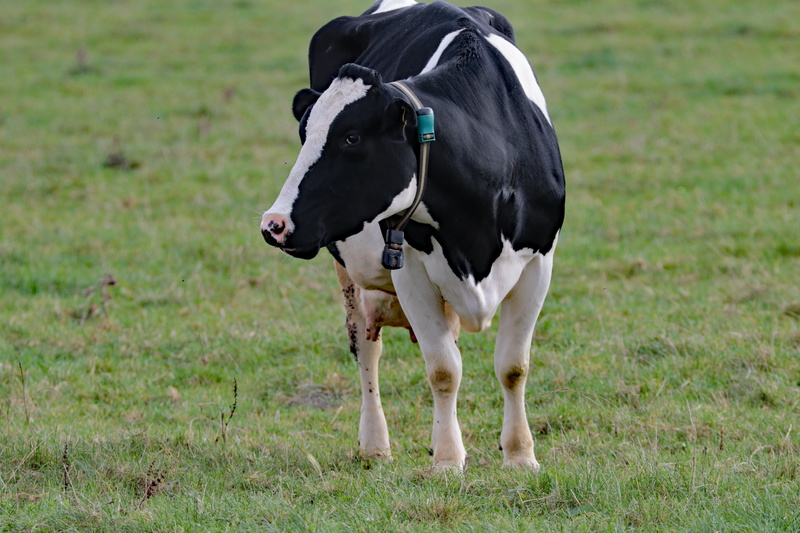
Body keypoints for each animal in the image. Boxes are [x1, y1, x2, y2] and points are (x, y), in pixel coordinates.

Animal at [260, 0, 565, 472]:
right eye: (304, 134)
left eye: (351, 137)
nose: (273, 224)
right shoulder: (410, 270)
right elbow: (443, 369)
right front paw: (447, 460)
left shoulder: (539, 261)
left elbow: (513, 366)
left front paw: (519, 455)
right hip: (349, 272)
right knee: (367, 350)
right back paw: (375, 444)